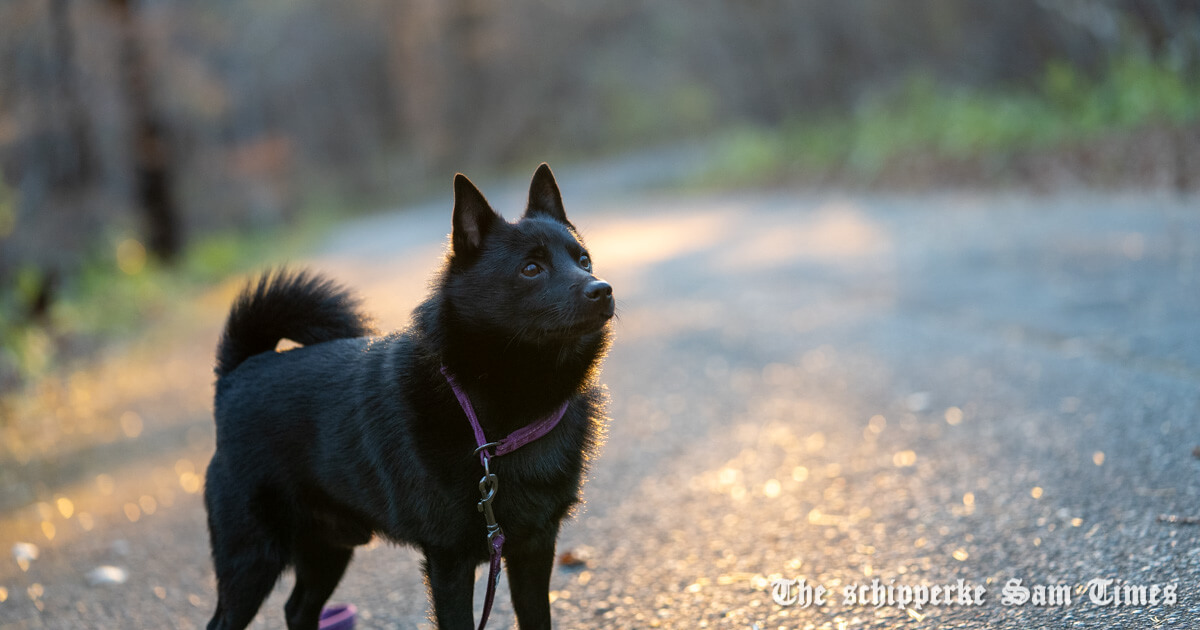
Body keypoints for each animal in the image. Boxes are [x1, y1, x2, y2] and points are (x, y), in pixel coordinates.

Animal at [204, 164, 609, 624]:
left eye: (583, 259)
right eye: (530, 268)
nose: (602, 289)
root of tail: (237, 374)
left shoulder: (534, 547)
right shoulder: (450, 561)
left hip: (327, 549)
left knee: (296, 609)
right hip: (252, 561)